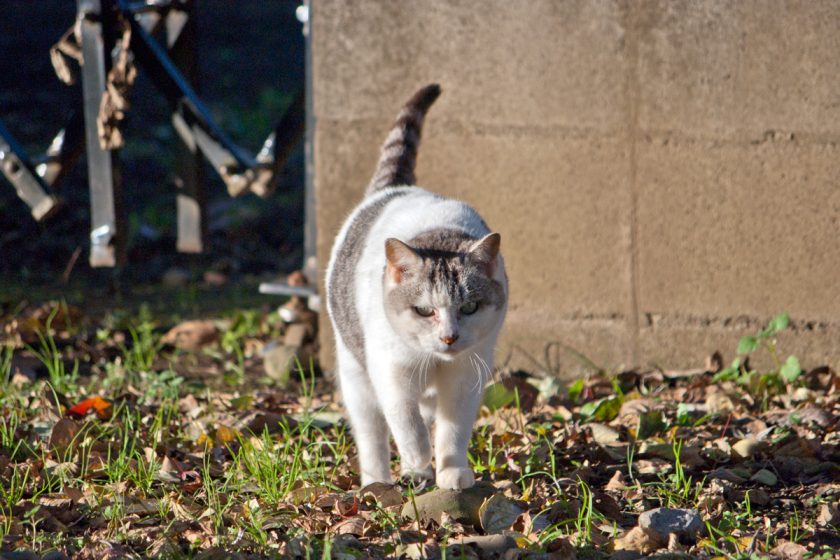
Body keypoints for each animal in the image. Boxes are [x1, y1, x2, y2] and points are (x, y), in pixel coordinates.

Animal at [324, 83, 506, 490]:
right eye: (424, 310)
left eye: (469, 307)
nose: (449, 337)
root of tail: (396, 187)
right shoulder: (390, 370)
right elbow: (405, 422)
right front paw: (419, 456)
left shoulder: (466, 375)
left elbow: (452, 431)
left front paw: (451, 473)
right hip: (356, 377)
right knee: (373, 436)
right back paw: (379, 480)